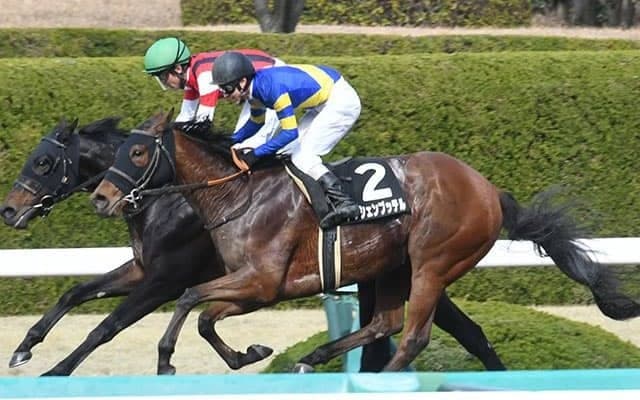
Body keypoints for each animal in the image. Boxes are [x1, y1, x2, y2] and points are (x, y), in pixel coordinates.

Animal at [0, 117, 505, 375]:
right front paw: (25, 348)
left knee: (418, 334)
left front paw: (57, 371)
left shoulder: (170, 280)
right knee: (416, 328)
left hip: (429, 265)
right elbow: (75, 292)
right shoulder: (146, 270)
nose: (8, 210)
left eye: (43, 162)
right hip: (389, 272)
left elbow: (108, 326)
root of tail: (486, 188)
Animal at [91, 110, 640, 372]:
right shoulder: (252, 289)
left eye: (137, 152)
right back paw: (314, 359)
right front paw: (250, 353)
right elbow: (205, 317)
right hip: (392, 267)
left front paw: (166, 359)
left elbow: (188, 300)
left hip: (432, 262)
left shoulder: (262, 282)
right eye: (114, 151)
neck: (237, 193)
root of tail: (489, 191)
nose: (100, 197)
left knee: (412, 336)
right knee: (385, 325)